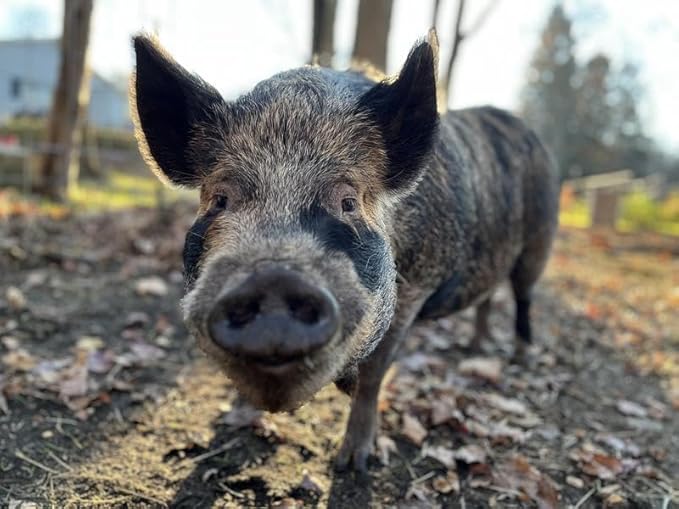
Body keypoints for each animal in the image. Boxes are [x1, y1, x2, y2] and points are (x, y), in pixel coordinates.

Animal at [130, 30, 559, 472]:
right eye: (220, 200)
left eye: (348, 202)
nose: (272, 277)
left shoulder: (414, 289)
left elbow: (373, 375)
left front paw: (352, 464)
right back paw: (476, 347)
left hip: (540, 241)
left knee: (523, 297)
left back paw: (520, 357)